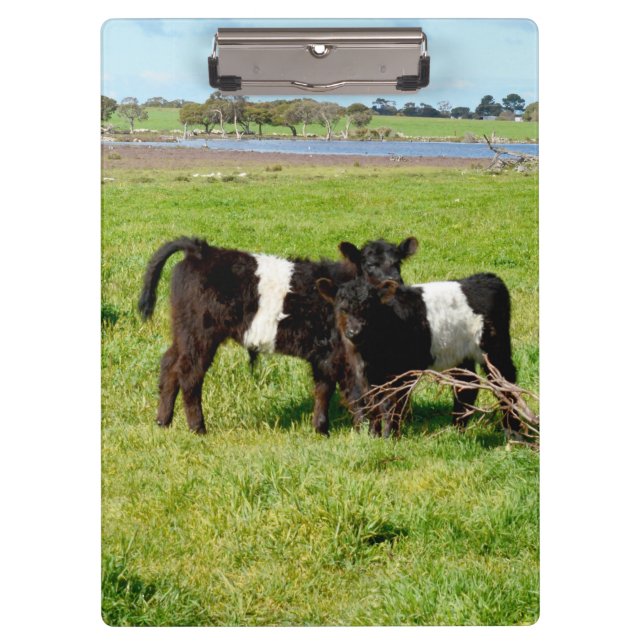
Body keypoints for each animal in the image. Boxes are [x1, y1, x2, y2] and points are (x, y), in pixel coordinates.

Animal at [137, 236, 418, 435]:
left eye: (397, 263)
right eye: (370, 264)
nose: (396, 283)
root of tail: (200, 250)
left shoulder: (324, 354)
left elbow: (323, 389)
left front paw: (321, 429)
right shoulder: (343, 352)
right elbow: (355, 393)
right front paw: (363, 432)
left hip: (183, 331)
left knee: (169, 365)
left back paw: (163, 421)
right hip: (201, 334)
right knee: (189, 374)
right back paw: (198, 428)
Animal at [316, 273, 518, 437]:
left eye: (369, 307)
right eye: (342, 308)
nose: (354, 332)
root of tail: (488, 278)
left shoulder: (401, 373)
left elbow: (392, 403)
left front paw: (390, 437)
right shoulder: (367, 375)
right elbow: (373, 404)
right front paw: (374, 436)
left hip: (495, 350)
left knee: (505, 385)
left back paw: (515, 433)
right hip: (461, 356)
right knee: (467, 386)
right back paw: (457, 430)